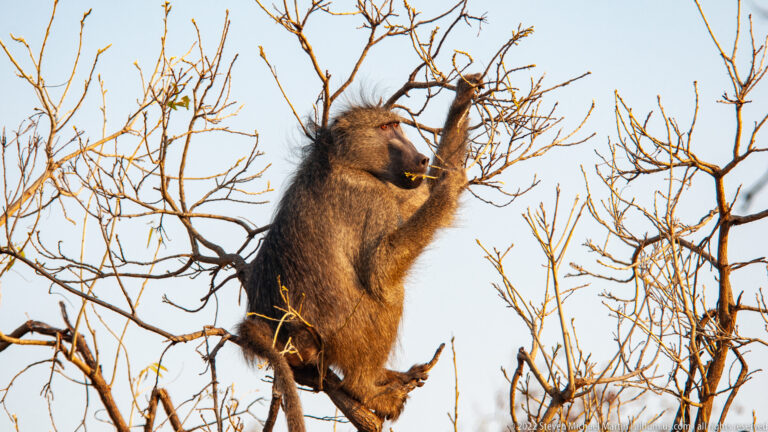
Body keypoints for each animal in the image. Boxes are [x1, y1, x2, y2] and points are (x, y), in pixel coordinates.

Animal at [238, 73, 482, 431]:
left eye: (397, 125)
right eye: (385, 128)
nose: (421, 158)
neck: (340, 160)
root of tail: (288, 333)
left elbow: (423, 194)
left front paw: (463, 100)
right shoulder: (370, 197)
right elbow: (380, 271)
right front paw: (451, 186)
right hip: (340, 334)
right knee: (391, 295)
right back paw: (366, 389)